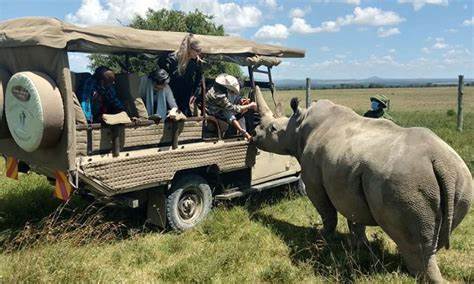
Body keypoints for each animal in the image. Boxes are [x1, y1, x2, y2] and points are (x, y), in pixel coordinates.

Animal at [254, 87, 472, 282]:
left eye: (272, 129)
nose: (254, 134)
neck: (297, 127)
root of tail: (440, 163)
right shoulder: (347, 180)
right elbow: (355, 218)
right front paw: (360, 247)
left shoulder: (314, 181)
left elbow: (327, 213)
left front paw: (321, 239)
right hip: (461, 181)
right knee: (435, 238)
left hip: (407, 183)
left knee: (415, 242)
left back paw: (415, 274)